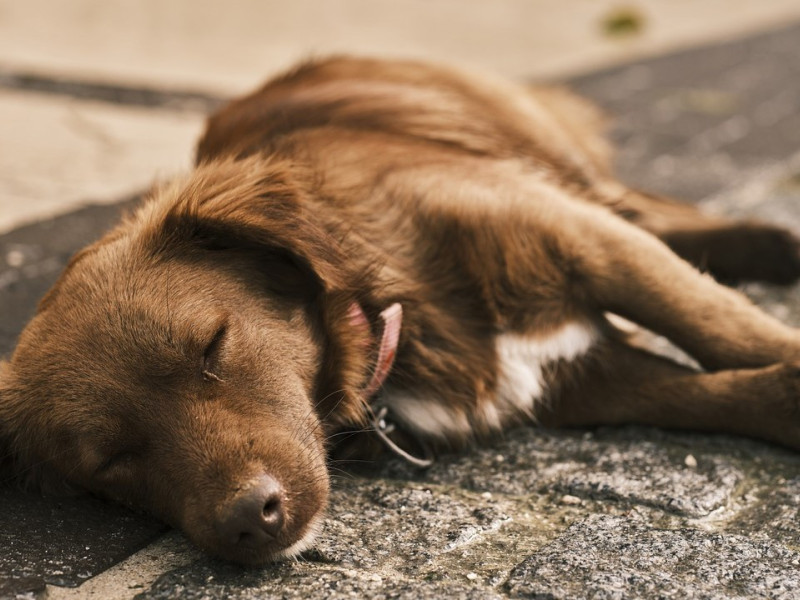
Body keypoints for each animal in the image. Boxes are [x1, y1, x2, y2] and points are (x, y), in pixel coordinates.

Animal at [1, 55, 800, 564]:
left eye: (213, 347)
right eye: (113, 461)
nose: (248, 522)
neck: (392, 312)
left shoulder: (581, 238)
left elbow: (718, 322)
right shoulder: (582, 378)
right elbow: (708, 393)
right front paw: (777, 395)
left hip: (549, 156)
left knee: (644, 206)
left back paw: (771, 243)